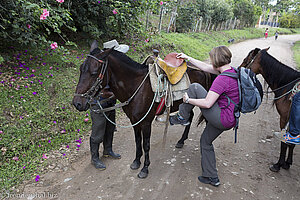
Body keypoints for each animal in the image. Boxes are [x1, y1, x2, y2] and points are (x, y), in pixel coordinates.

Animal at [72, 41, 213, 178]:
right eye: (80, 69)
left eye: (94, 73)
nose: (77, 103)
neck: (136, 86)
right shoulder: (134, 121)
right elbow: (138, 141)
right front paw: (136, 162)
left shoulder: (146, 122)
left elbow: (146, 145)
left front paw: (145, 168)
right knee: (190, 116)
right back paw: (181, 141)